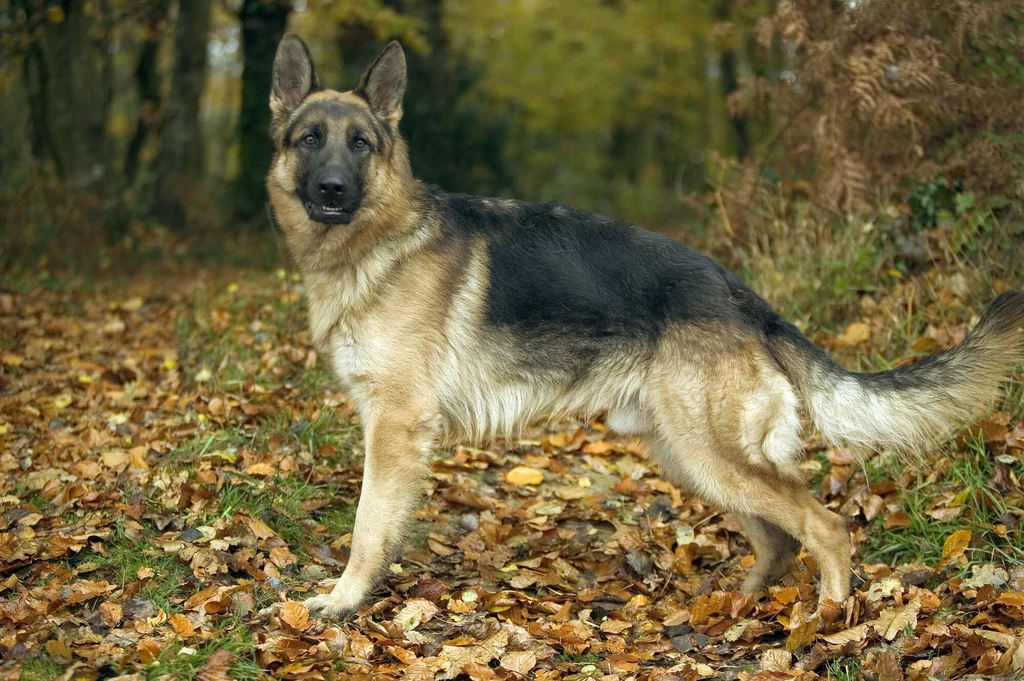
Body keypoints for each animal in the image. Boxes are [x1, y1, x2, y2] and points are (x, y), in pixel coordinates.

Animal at [266, 35, 1024, 622]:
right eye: (310, 140)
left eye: (361, 144)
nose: (332, 190)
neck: (378, 242)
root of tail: (739, 294)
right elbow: (381, 522)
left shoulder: (395, 427)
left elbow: (368, 525)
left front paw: (344, 600)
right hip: (691, 456)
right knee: (779, 540)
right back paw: (740, 609)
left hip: (710, 454)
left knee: (827, 527)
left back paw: (826, 623)